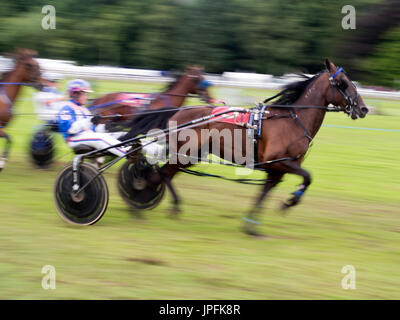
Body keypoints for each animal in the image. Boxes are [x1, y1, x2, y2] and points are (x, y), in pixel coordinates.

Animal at [125, 59, 368, 235]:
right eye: (343, 83)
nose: (363, 108)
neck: (292, 120)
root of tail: (177, 112)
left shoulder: (276, 170)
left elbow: (264, 193)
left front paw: (251, 225)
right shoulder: (280, 161)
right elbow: (308, 177)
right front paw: (291, 201)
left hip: (190, 156)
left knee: (162, 174)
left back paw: (147, 200)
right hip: (185, 154)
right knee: (160, 173)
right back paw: (149, 196)